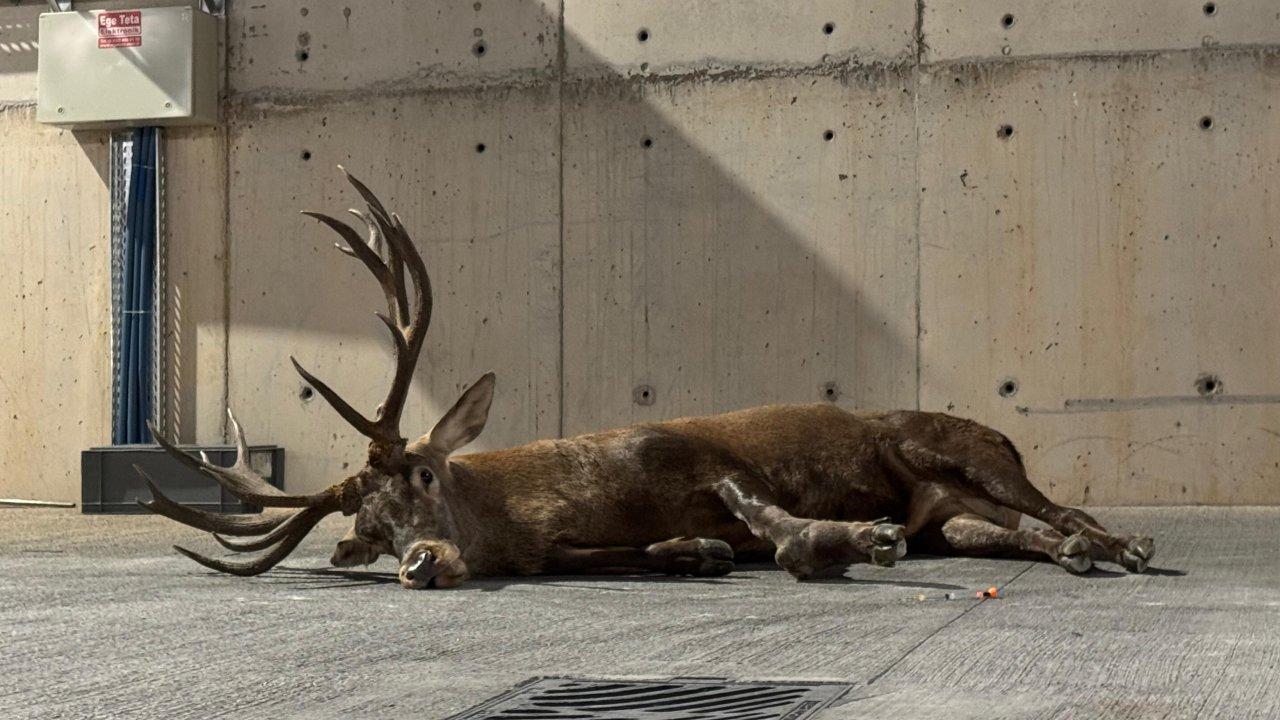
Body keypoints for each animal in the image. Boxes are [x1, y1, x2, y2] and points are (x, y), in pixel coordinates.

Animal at [142, 169, 1162, 589]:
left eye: (424, 476)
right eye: (367, 529)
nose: (418, 563)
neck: (562, 502)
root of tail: (1003, 432)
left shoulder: (697, 455)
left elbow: (775, 526)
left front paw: (848, 538)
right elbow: (654, 549)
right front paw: (695, 551)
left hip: (961, 453)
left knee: (1060, 506)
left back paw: (1125, 545)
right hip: (954, 512)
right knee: (1016, 530)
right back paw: (1079, 553)